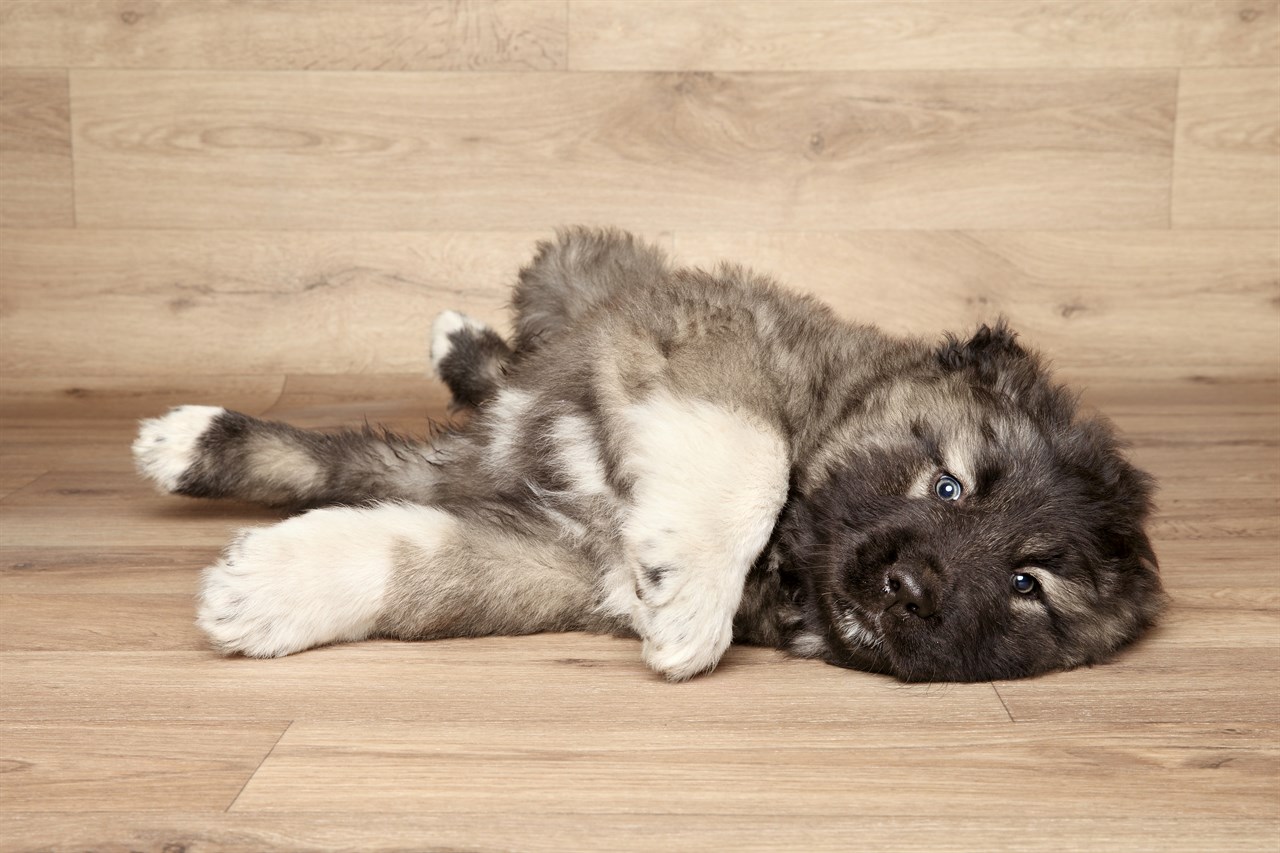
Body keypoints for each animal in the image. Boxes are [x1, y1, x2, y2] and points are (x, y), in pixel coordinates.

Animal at [135, 225, 1167, 676]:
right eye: (948, 484)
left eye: (1028, 586)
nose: (910, 589)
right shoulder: (712, 338)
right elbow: (754, 451)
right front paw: (692, 597)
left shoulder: (557, 561)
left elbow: (425, 565)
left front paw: (267, 591)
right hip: (584, 266)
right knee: (536, 326)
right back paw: (455, 343)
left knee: (391, 456)